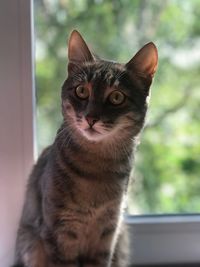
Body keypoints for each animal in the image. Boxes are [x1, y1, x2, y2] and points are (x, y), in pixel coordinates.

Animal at [11, 29, 158, 267]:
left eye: (116, 97)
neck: (96, 169)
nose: (91, 118)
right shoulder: (59, 231)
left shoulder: (107, 233)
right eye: (81, 91)